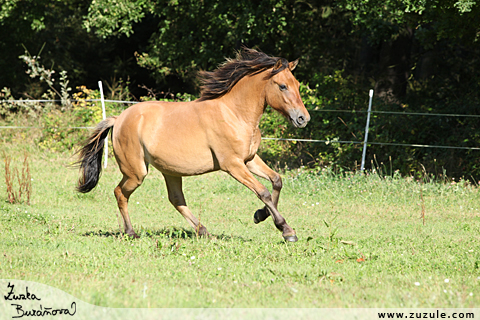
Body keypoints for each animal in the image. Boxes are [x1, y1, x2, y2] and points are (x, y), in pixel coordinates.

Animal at [73, 47, 310, 241]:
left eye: (297, 85)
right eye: (283, 86)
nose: (303, 119)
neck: (235, 114)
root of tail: (119, 119)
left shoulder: (249, 159)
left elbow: (276, 181)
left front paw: (261, 215)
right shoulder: (232, 165)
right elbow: (263, 191)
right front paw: (286, 230)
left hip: (170, 171)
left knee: (176, 199)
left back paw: (203, 231)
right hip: (136, 172)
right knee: (120, 193)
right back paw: (131, 232)